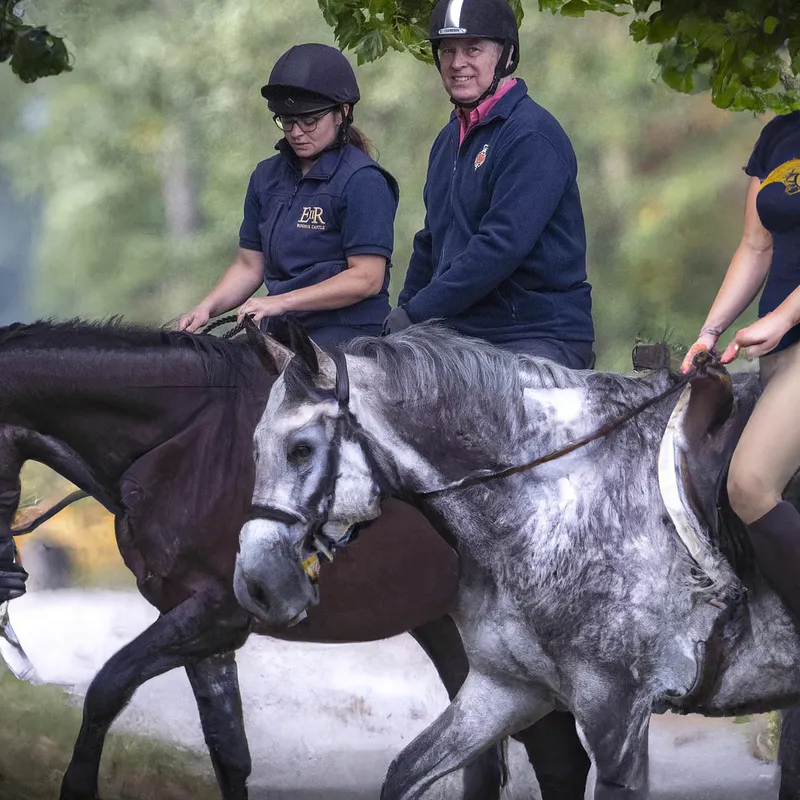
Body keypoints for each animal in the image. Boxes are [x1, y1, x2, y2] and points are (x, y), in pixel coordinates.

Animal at [0, 322, 588, 800]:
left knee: (558, 759)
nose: (13, 576)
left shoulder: (216, 614)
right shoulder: (197, 625)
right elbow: (229, 752)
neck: (182, 446)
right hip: (448, 629)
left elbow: (106, 687)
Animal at [238, 324, 800, 800]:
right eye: (255, 447)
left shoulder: (616, 712)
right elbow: (405, 772)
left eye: (301, 449)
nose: (256, 586)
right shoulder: (506, 689)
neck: (556, 497)